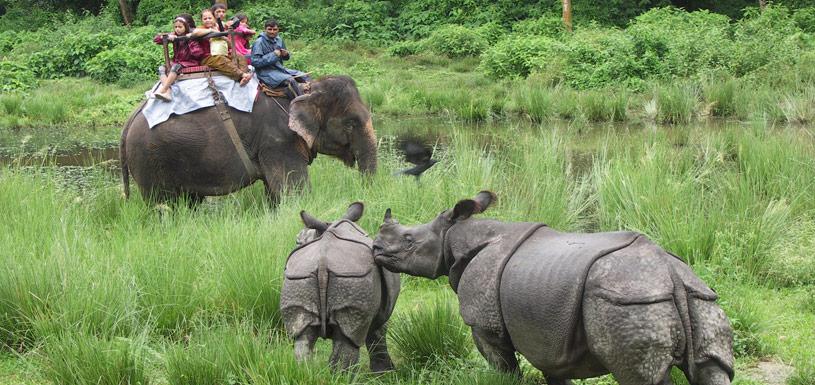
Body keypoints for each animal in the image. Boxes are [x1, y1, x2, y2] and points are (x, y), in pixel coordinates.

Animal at [120, 74, 376, 204]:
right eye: (350, 123)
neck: (303, 89)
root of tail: (129, 120)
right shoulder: (278, 141)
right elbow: (294, 191)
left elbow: (275, 191)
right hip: (149, 161)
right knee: (164, 205)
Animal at [280, 202, 402, 370]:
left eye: (298, 240)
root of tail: (322, 261)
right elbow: (378, 334)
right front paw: (385, 372)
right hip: (352, 278)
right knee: (346, 342)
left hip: (299, 278)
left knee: (302, 340)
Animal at [372, 190, 736, 382]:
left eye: (408, 240)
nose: (376, 248)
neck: (454, 239)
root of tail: (669, 275)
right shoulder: (549, 336)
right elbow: (554, 372)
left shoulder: (485, 326)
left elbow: (504, 370)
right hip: (698, 297)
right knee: (712, 366)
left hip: (628, 302)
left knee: (639, 376)